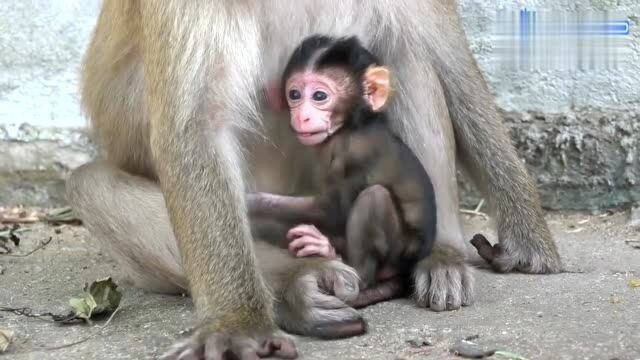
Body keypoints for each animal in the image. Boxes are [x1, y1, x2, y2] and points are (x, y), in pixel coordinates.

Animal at [252, 34, 438, 304]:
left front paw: (251, 201)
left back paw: (341, 260)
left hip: (399, 252)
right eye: (294, 94)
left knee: (374, 198)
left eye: (319, 96)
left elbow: (333, 210)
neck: (350, 125)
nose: (301, 116)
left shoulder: (356, 152)